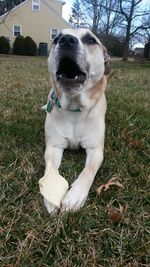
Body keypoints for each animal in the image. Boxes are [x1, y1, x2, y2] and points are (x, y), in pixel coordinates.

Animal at [39, 28, 110, 215]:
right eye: (56, 38)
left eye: (91, 39)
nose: (66, 40)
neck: (74, 107)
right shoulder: (54, 146)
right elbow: (51, 168)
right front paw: (51, 192)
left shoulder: (95, 149)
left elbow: (88, 171)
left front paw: (75, 196)